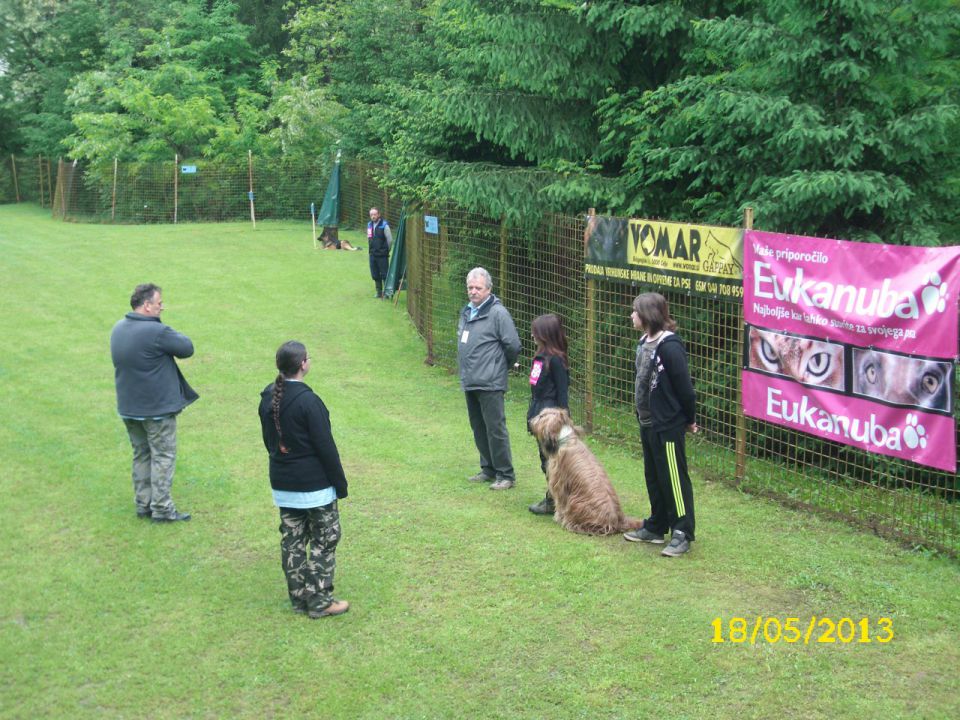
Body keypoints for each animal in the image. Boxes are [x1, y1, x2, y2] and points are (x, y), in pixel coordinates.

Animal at [528, 404, 640, 536]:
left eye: (541, 416)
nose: (529, 422)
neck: (564, 438)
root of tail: (618, 521)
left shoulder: (559, 484)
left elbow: (560, 502)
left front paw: (558, 517)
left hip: (576, 503)